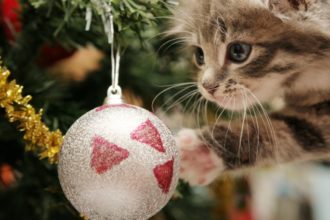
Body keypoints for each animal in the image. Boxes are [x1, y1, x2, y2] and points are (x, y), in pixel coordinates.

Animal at [170, 0, 330, 186]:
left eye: (238, 51)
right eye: (199, 55)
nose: (207, 87)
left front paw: (200, 151)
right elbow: (296, 128)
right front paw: (202, 153)